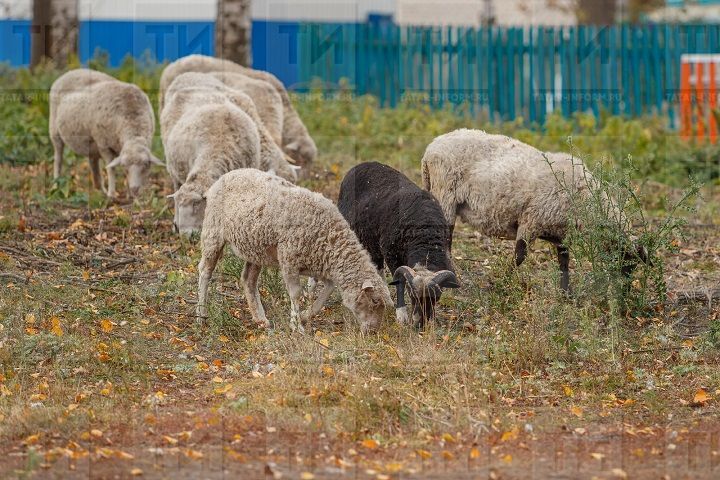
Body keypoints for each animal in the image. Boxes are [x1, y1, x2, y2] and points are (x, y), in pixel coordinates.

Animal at [49, 67, 163, 197]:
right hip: (55, 131)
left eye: (145, 165)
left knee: (93, 161)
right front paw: (112, 194)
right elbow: (111, 169)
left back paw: (100, 189)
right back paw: (55, 186)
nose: (134, 189)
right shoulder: (103, 144)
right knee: (58, 159)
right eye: (124, 166)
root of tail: (71, 71)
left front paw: (129, 195)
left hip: (91, 142)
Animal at [197, 170, 394, 334]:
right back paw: (201, 313)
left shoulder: (316, 265)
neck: (330, 236)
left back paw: (260, 319)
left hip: (255, 248)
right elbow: (296, 293)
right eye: (374, 301)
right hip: (213, 231)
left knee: (248, 280)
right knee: (205, 271)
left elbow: (328, 289)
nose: (373, 332)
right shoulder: (289, 261)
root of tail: (227, 175)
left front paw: (306, 316)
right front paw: (297, 325)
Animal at [338, 162, 462, 326]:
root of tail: (360, 165)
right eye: (411, 295)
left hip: (373, 242)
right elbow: (398, 282)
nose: (419, 324)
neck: (424, 230)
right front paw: (401, 315)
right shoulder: (392, 254)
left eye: (436, 297)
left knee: (377, 265)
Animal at [420, 128, 648, 292]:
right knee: (444, 238)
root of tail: (431, 148)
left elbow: (564, 262)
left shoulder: (560, 233)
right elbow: (520, 255)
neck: (584, 200)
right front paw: (500, 282)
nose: (625, 292)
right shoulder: (531, 220)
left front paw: (566, 294)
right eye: (625, 262)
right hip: (446, 195)